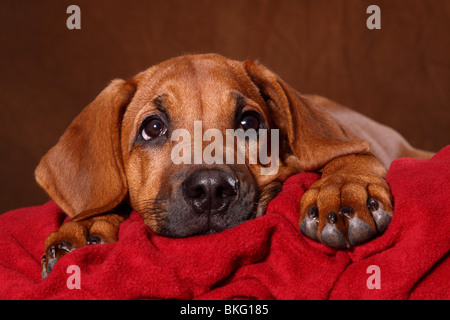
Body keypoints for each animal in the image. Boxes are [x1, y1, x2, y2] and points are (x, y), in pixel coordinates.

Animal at [36, 53, 432, 278]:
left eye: (248, 122)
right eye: (153, 128)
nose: (211, 190)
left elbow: (350, 155)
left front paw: (342, 191)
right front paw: (86, 225)